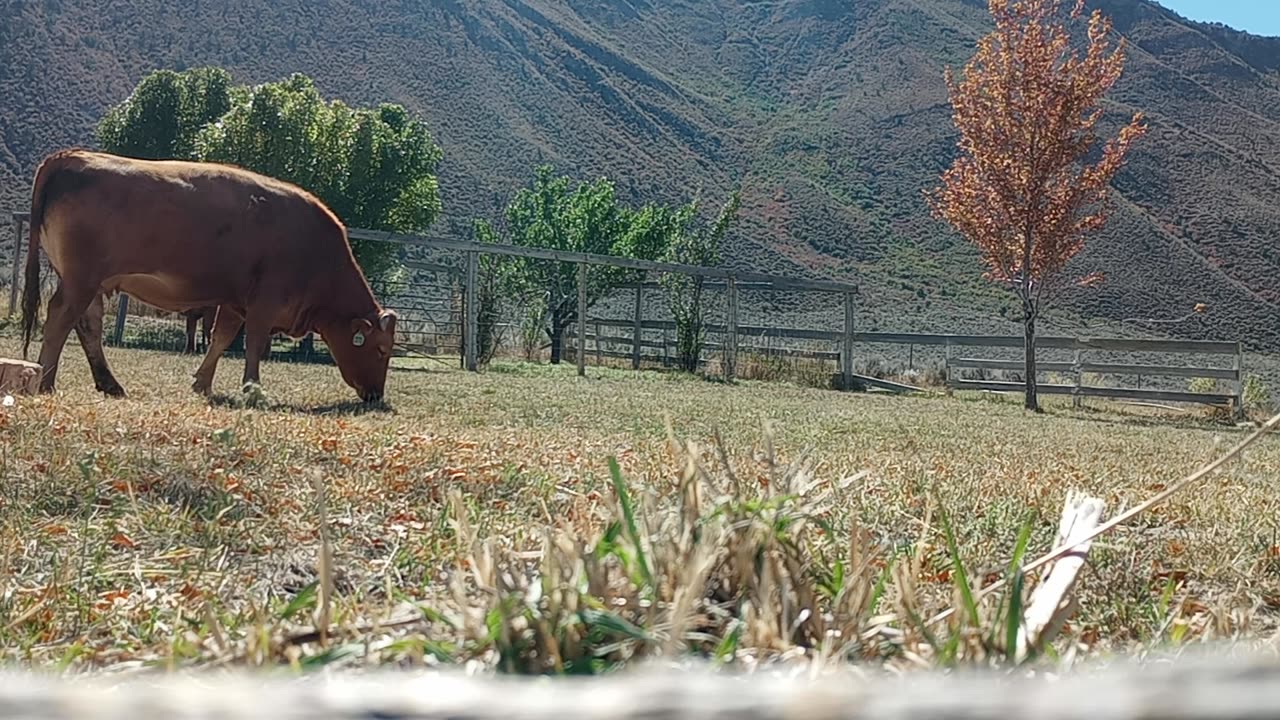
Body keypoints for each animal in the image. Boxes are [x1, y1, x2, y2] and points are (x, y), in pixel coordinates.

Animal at [20, 148, 396, 399]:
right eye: (381, 350)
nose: (376, 395)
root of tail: (71, 156)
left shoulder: (233, 302)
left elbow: (221, 338)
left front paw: (202, 383)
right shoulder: (265, 301)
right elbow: (254, 343)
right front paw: (252, 389)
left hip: (93, 283)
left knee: (88, 326)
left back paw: (108, 384)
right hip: (80, 279)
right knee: (60, 319)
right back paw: (46, 381)